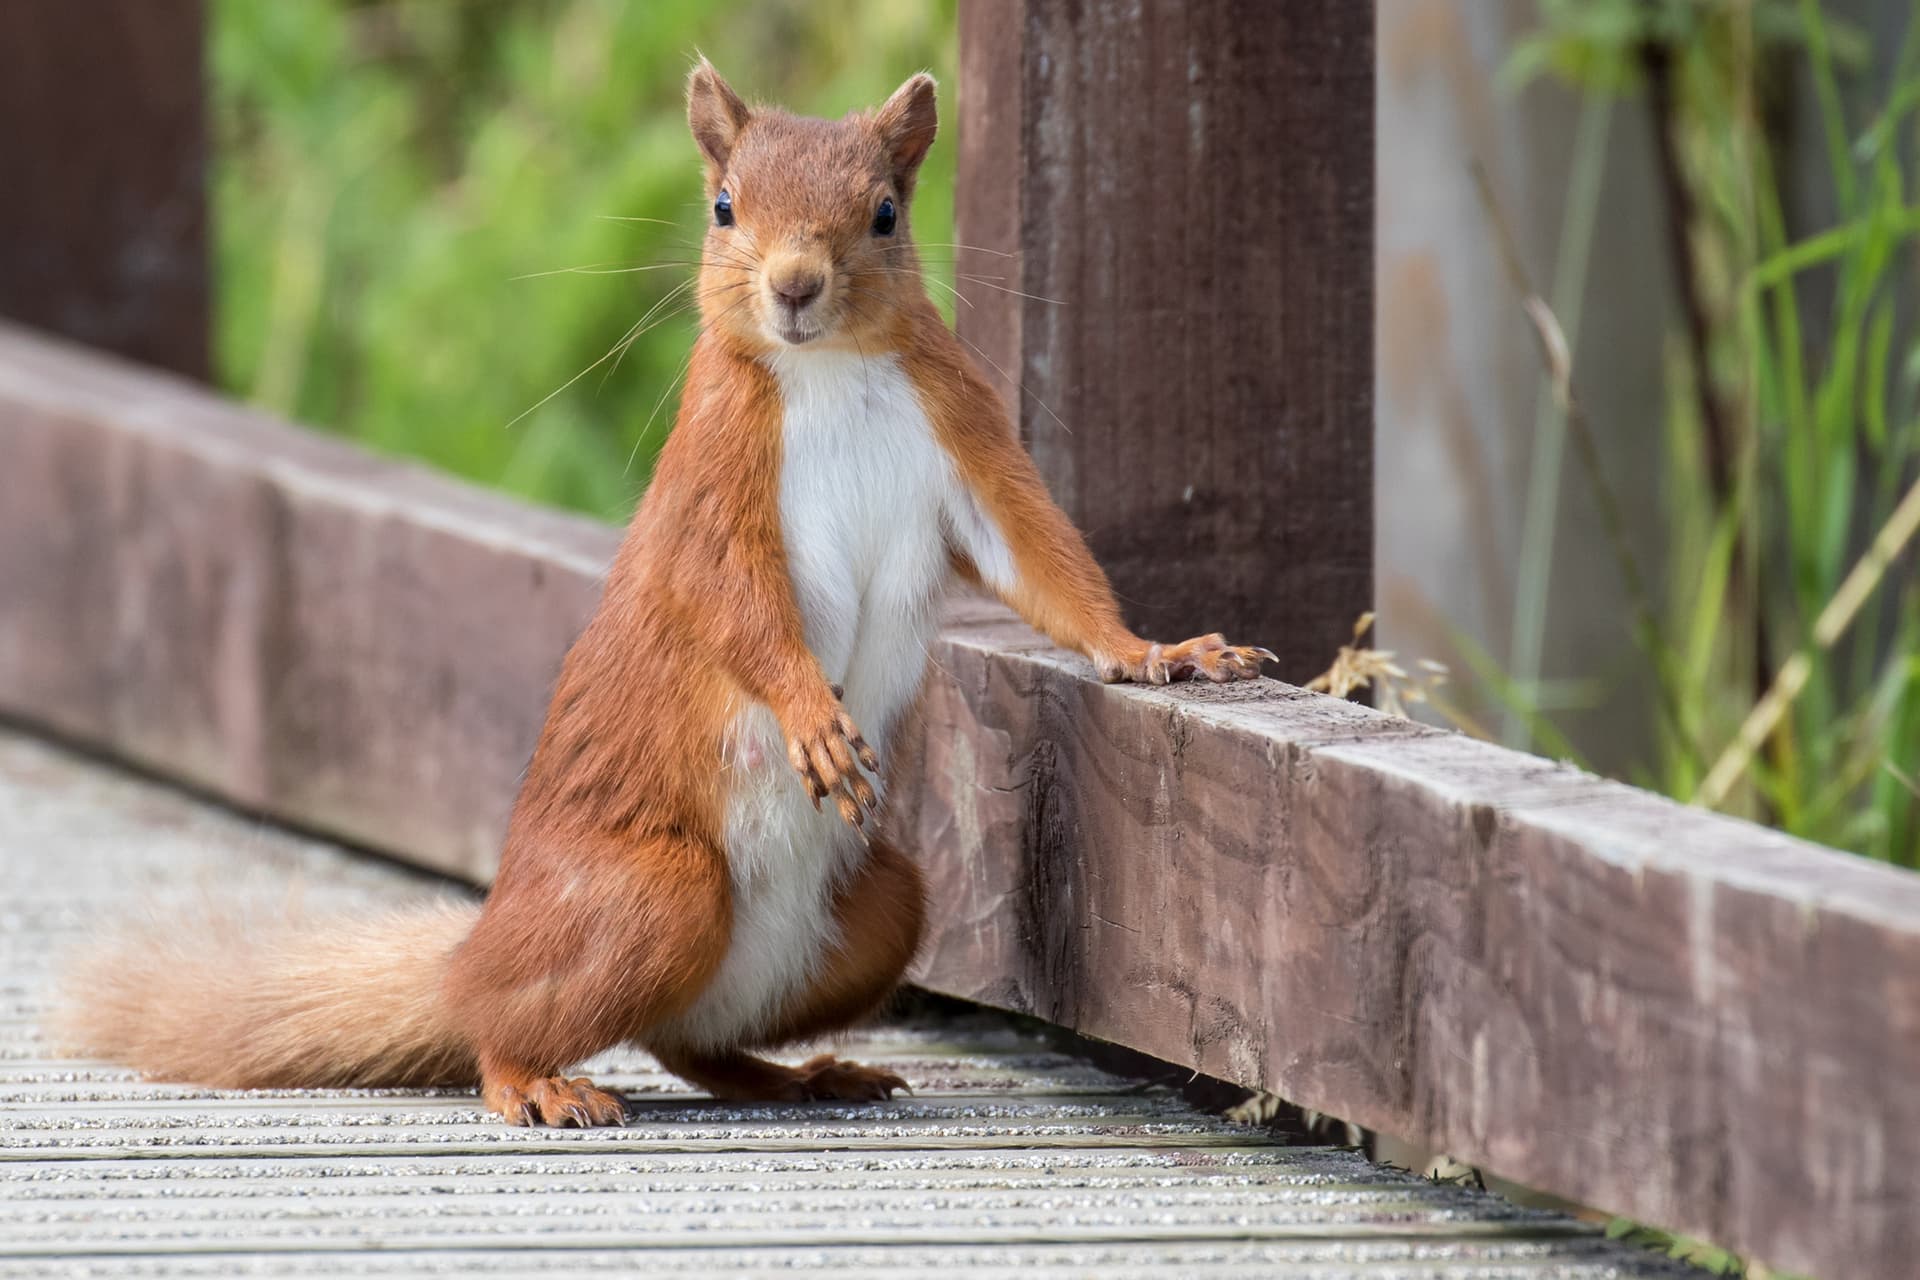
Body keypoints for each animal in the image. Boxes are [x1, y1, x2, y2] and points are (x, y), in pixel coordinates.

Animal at [56, 62, 1274, 1127]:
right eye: (725, 206)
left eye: (884, 213)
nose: (795, 286)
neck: (829, 371)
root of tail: (474, 954)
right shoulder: (711, 485)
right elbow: (734, 607)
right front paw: (811, 716)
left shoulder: (966, 440)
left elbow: (1045, 563)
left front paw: (1163, 653)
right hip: (654, 892)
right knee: (513, 1028)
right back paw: (535, 1083)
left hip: (880, 908)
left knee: (693, 1044)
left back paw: (806, 1075)